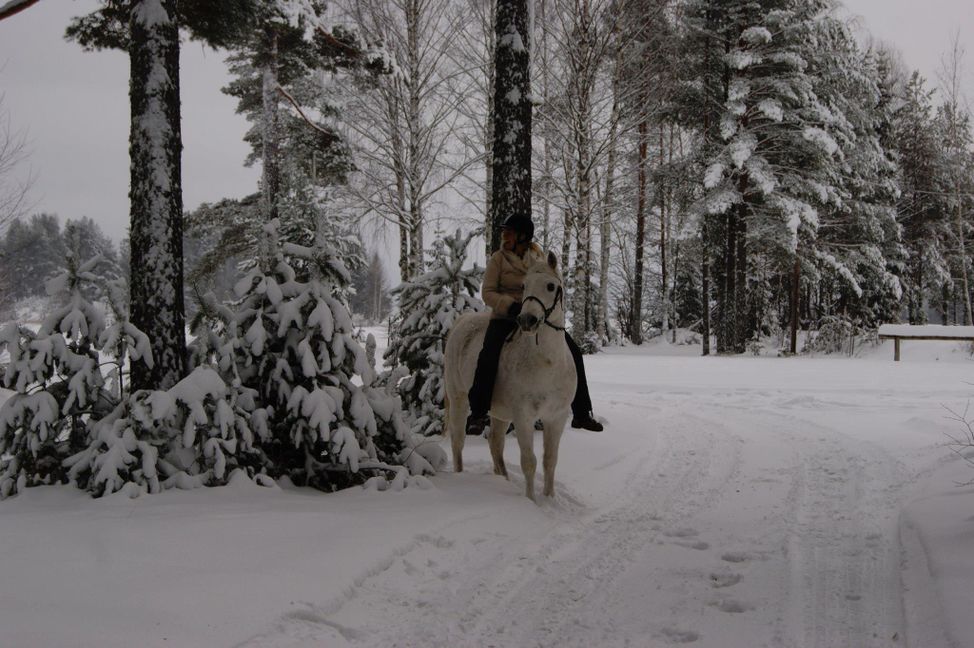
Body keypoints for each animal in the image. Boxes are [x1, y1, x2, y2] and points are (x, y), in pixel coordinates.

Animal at [444, 251, 576, 498]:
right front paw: (531, 500)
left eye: (551, 286)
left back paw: (502, 479)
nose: (526, 320)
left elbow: (550, 460)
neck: (547, 364)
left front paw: (549, 497)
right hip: (458, 399)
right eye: (524, 285)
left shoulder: (556, 417)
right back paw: (460, 476)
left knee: (495, 444)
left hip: (500, 413)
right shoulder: (523, 417)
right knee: (458, 441)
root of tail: (461, 321)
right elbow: (529, 463)